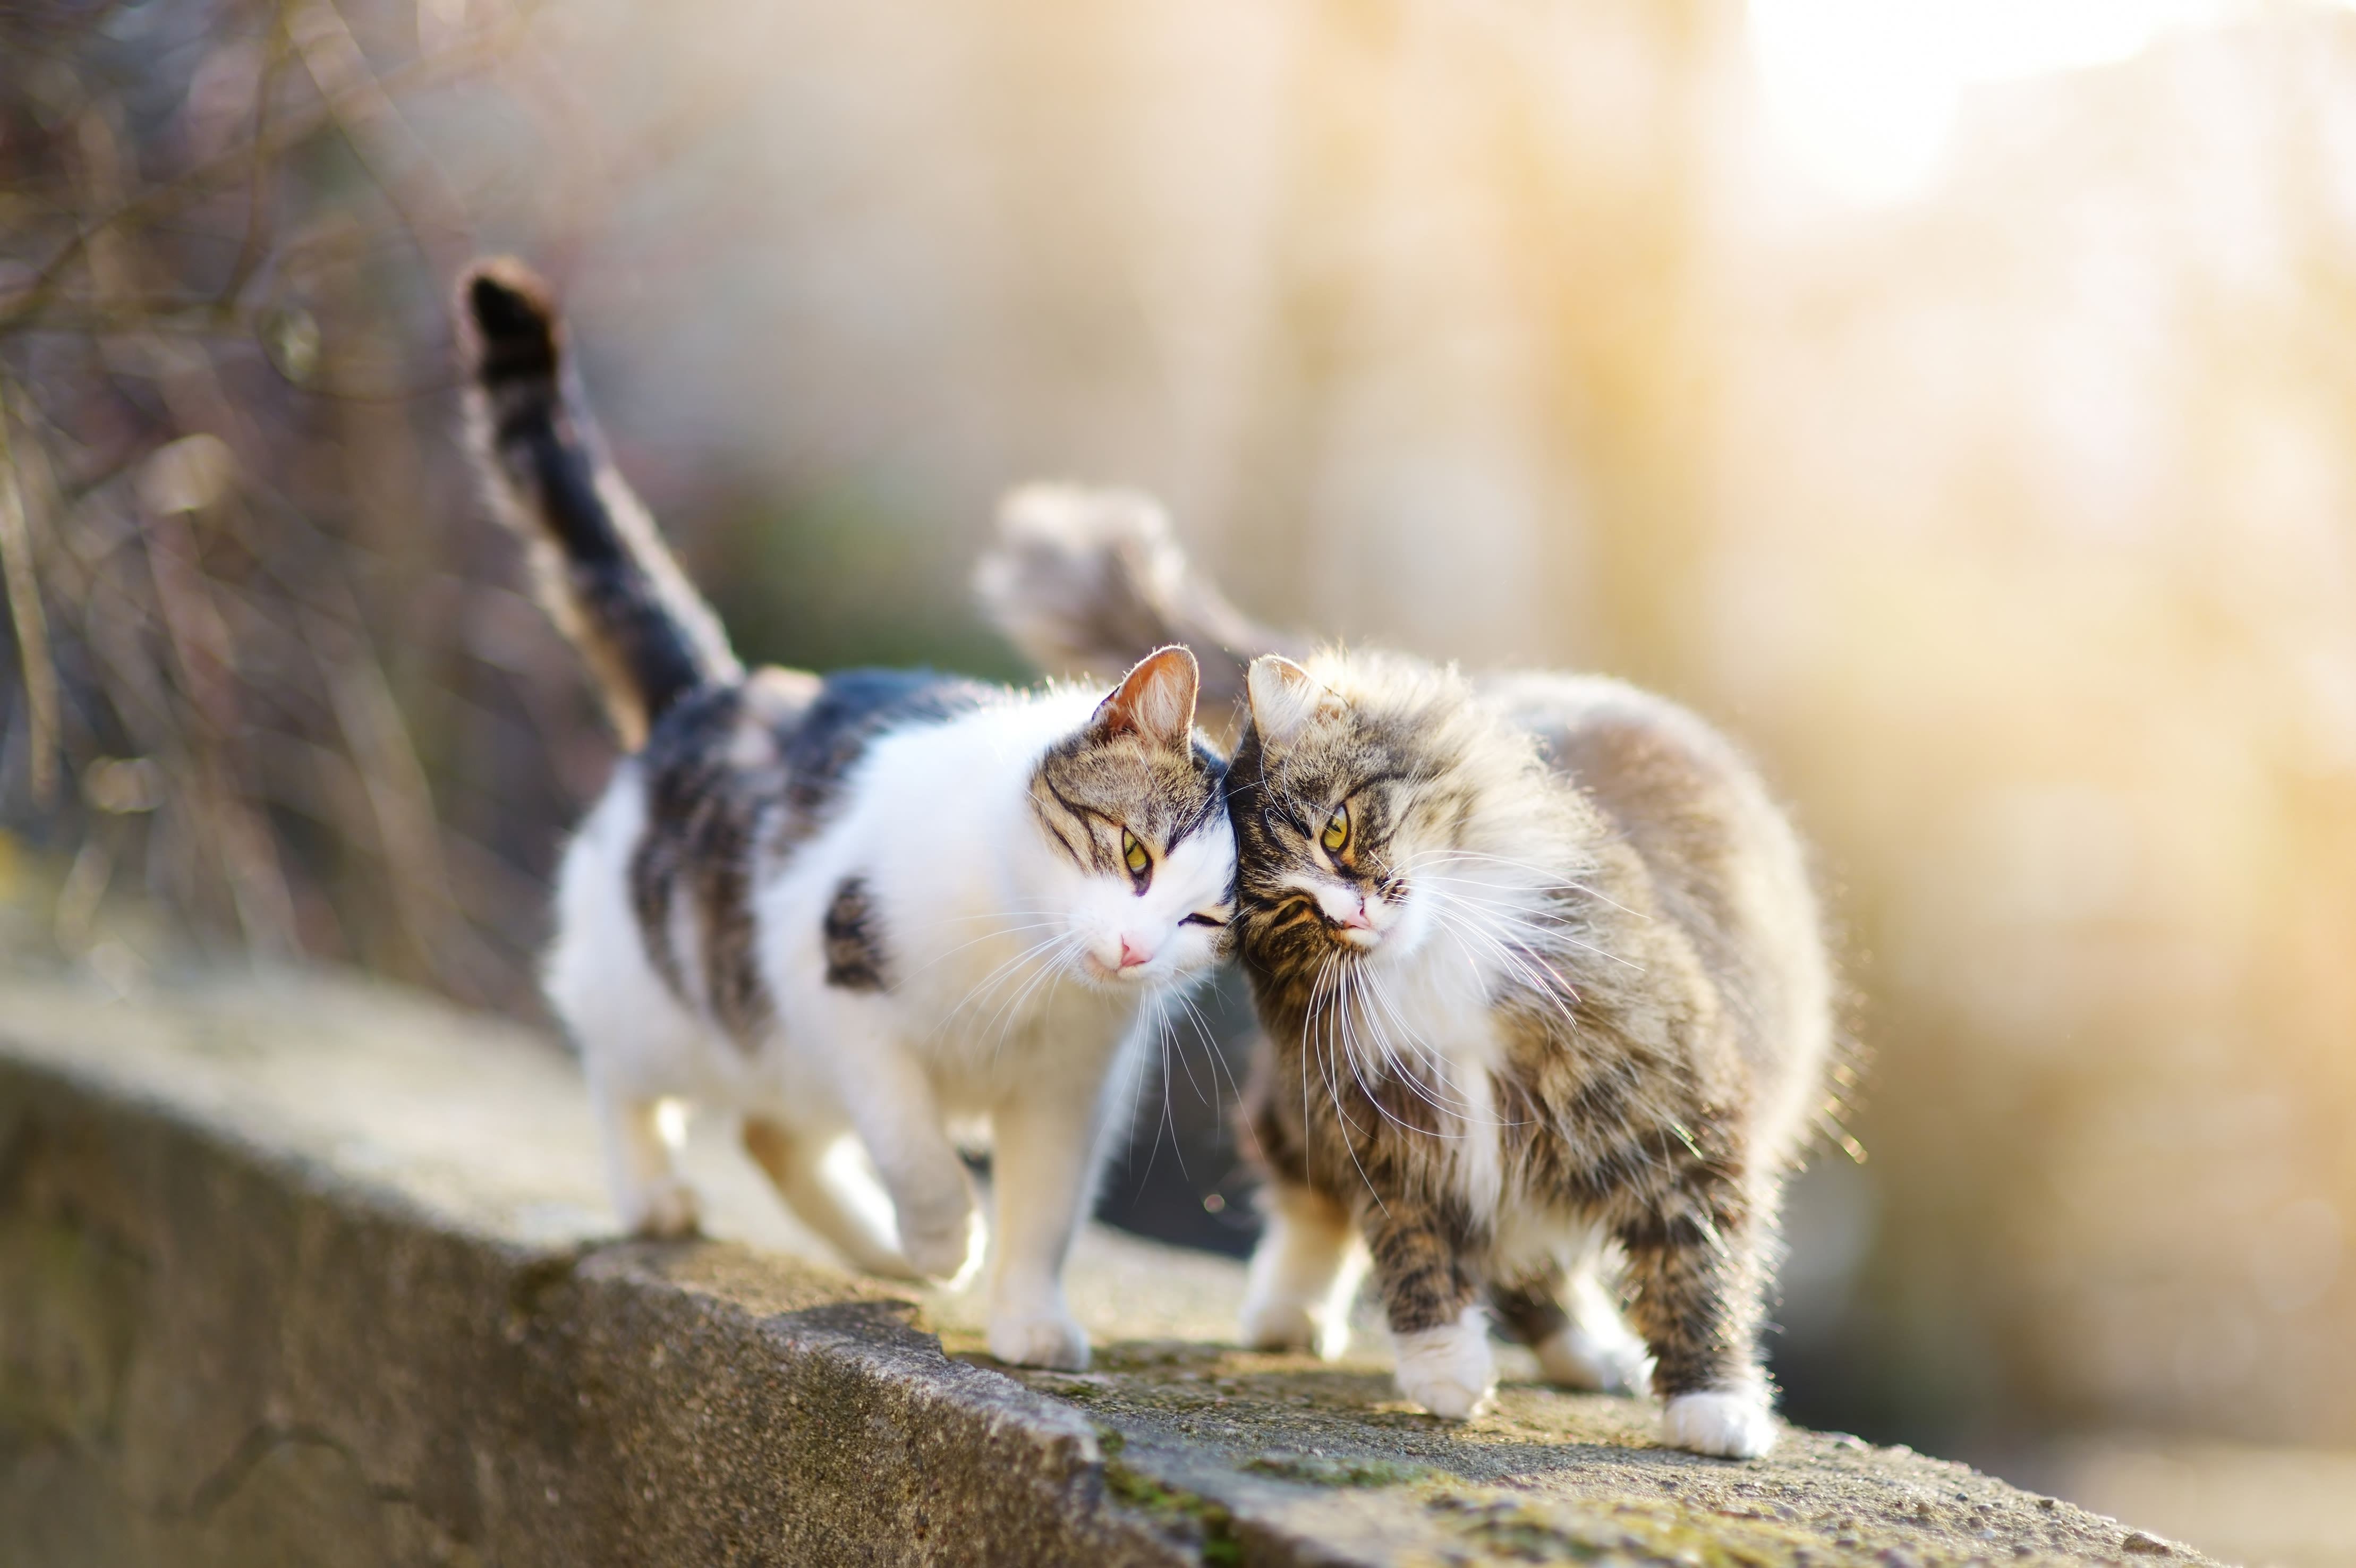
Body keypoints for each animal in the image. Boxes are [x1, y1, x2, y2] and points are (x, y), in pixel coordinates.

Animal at [454, 268, 1234, 1365]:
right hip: (679, 996)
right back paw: (658, 1192)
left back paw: (874, 1248)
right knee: (620, 1065)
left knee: (770, 1130)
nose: (1133, 950)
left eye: (1206, 918)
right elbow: (913, 1142)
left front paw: (1026, 1317)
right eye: (1134, 854)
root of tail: (715, 688)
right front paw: (945, 1233)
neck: (1026, 971)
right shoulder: (835, 981)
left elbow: (1044, 1211)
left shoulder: (1070, 1094)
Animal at [984, 489, 1828, 1450]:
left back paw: (1591, 1354)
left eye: (1337, 832)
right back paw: (1293, 1315)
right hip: (1305, 1100)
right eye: (1289, 913)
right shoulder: (1382, 1120)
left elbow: (1697, 1266)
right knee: (1320, 1202)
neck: (1434, 974)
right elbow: (1415, 1249)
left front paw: (1714, 1405)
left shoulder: (1665, 1108)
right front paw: (1444, 1369)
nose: (1353, 913)